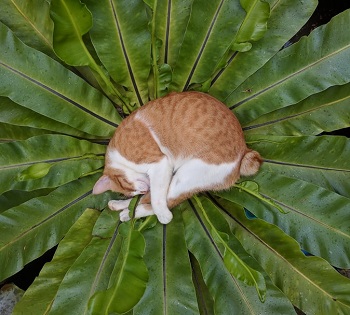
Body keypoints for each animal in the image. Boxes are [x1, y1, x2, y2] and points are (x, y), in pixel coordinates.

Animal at [91, 91, 262, 225]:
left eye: (129, 186)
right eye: (132, 191)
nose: (143, 189)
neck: (118, 156)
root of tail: (244, 150)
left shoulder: (160, 164)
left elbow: (157, 199)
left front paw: (163, 215)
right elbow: (148, 196)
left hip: (186, 175)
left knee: (162, 202)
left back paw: (131, 213)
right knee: (151, 199)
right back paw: (119, 206)